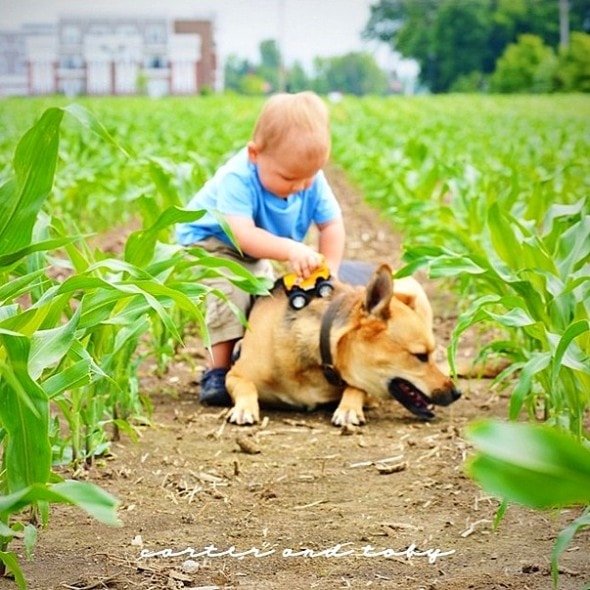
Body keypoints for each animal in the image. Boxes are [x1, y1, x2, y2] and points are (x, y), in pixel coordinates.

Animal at [227, 266, 462, 428]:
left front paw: (349, 408)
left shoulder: (369, 389)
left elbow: (356, 387)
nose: (457, 393)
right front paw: (244, 407)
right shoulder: (234, 374)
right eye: (420, 356)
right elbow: (245, 385)